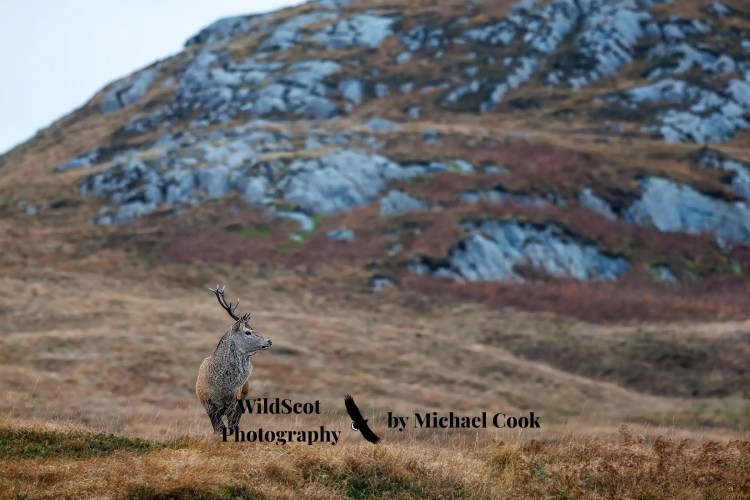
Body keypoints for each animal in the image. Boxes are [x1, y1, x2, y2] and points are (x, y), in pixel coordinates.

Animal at [196, 285, 272, 433]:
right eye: (248, 332)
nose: (269, 341)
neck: (221, 387)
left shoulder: (233, 402)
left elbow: (230, 427)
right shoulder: (208, 404)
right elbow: (218, 429)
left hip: (242, 401)